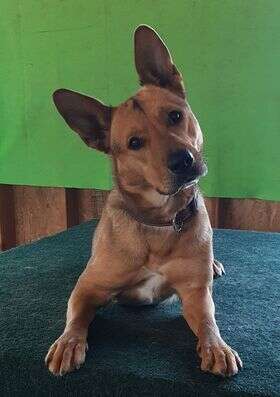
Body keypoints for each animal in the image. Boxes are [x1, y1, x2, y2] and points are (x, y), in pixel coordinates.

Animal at [44, 25, 242, 378]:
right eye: (134, 143)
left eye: (175, 116)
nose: (183, 161)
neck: (160, 221)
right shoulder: (88, 287)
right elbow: (76, 316)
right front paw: (68, 342)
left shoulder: (195, 293)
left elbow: (208, 321)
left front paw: (217, 346)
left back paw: (214, 265)